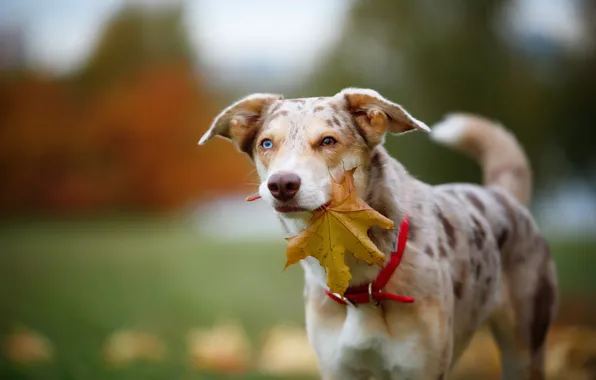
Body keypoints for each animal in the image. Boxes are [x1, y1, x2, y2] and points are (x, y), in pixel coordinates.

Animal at [200, 87, 560, 378]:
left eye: (328, 141)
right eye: (266, 143)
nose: (282, 184)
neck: (359, 280)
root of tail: (503, 196)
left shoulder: (421, 367)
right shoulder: (337, 367)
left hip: (525, 345)